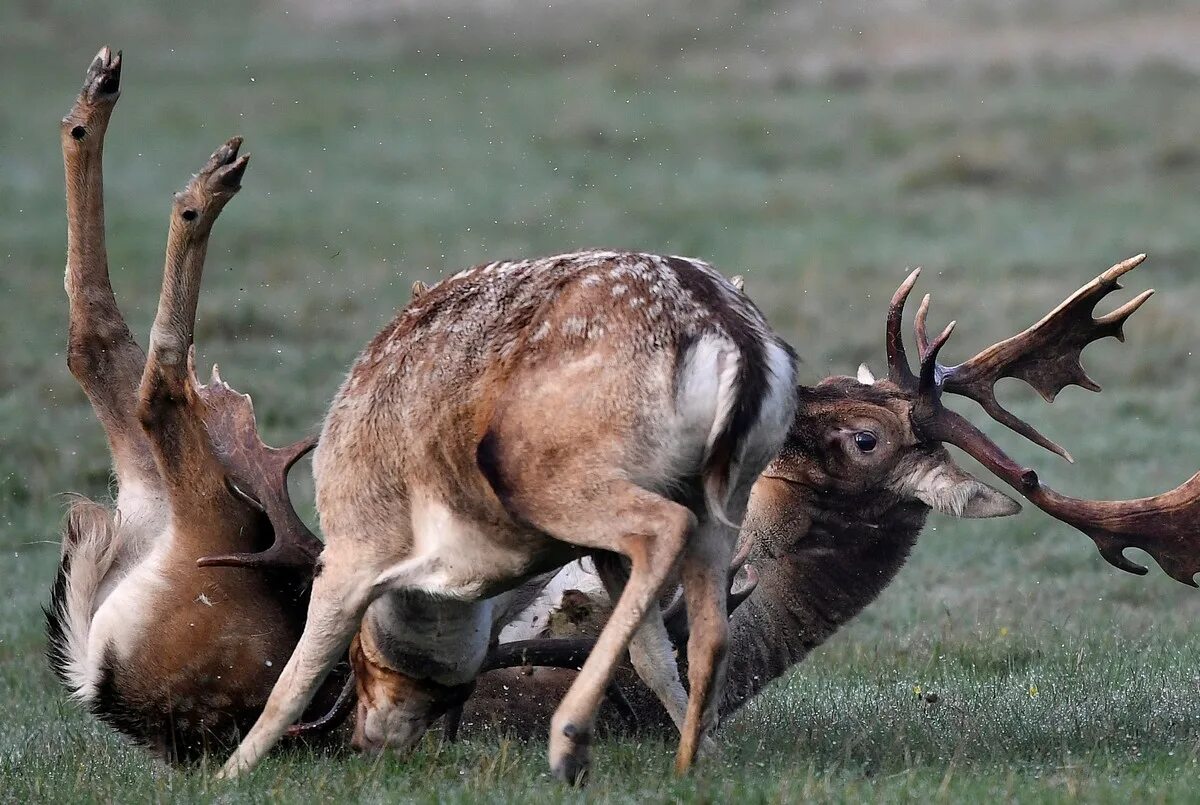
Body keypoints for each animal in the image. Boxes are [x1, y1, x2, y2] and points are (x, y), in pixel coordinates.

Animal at [45, 48, 348, 763]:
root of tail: (99, 674)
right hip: (226, 526)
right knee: (156, 391)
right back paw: (205, 191)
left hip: (181, 501)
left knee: (93, 342)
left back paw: (97, 101)